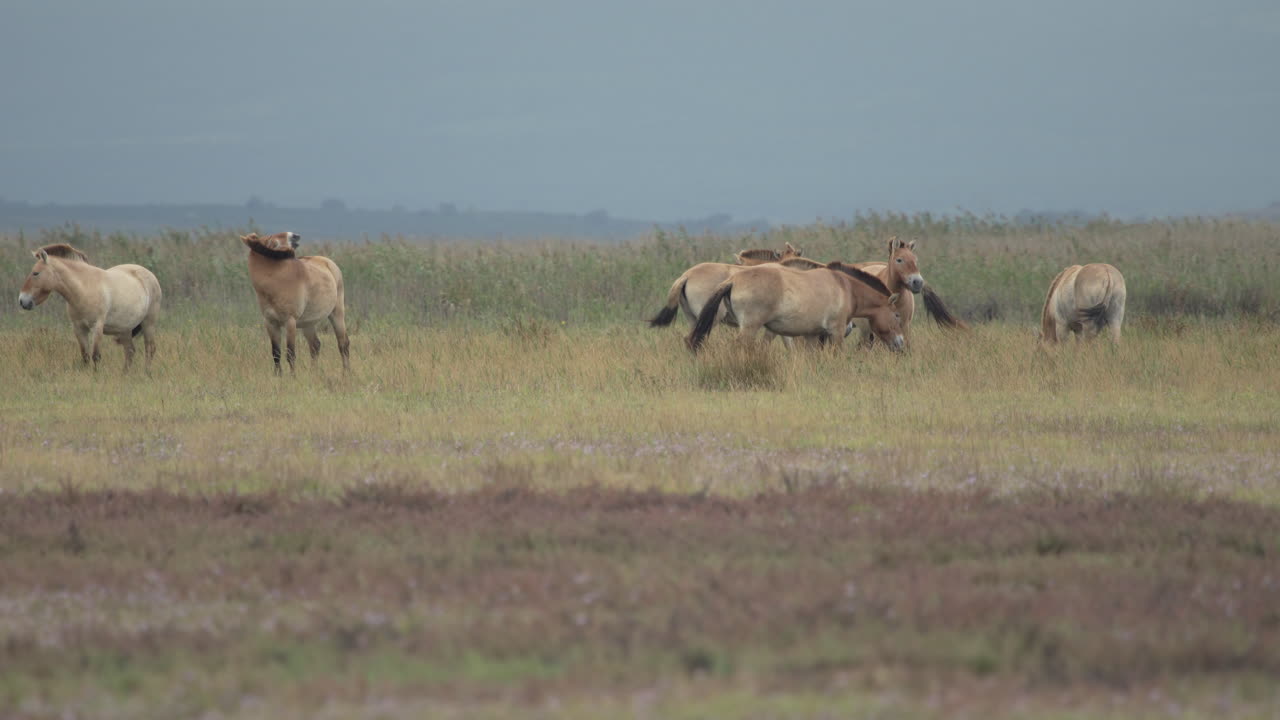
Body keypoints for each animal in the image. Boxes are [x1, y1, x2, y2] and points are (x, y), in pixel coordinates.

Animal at [18, 244, 161, 371]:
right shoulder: (78, 328)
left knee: (150, 348)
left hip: (148, 323)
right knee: (130, 351)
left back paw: (147, 373)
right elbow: (85, 356)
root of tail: (148, 273)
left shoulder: (97, 326)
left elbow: (96, 356)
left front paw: (95, 377)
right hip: (124, 329)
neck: (84, 289)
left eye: (35, 273)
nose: (22, 301)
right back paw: (125, 374)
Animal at [242, 231, 351, 374]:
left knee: (343, 344)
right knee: (315, 346)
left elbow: (290, 354)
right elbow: (276, 353)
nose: (295, 235)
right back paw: (313, 373)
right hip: (308, 323)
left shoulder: (290, 321)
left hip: (336, 313)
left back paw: (346, 372)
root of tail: (328, 262)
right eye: (273, 241)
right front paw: (278, 376)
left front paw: (293, 376)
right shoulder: (270, 323)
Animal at [686, 261, 904, 353]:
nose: (900, 343)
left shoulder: (812, 335)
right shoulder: (836, 332)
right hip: (749, 328)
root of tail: (732, 280)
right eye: (896, 315)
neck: (845, 287)